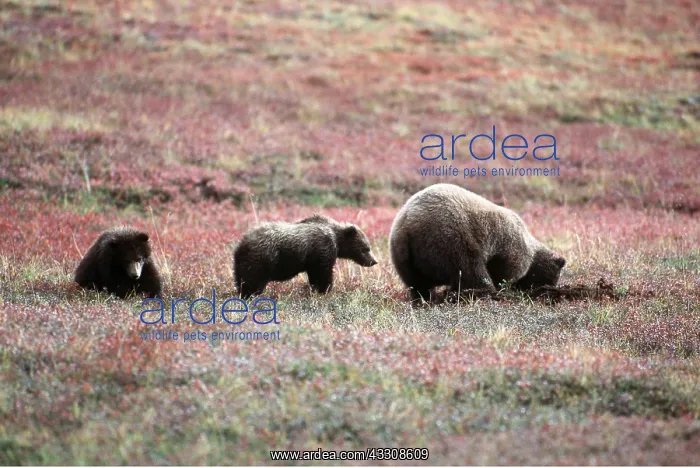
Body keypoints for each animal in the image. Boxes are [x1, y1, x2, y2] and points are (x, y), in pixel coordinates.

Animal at [233, 214, 378, 298]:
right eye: (366, 248)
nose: (374, 261)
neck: (337, 239)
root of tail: (242, 244)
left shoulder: (312, 260)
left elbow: (315, 275)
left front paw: (316, 290)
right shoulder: (322, 249)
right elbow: (323, 273)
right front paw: (325, 290)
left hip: (242, 263)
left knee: (241, 279)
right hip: (263, 258)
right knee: (253, 280)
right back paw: (251, 295)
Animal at [389, 183, 566, 302]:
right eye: (553, 278)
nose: (550, 288)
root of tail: (408, 224)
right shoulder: (510, 246)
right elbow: (507, 271)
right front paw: (504, 287)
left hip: (404, 255)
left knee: (416, 283)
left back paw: (424, 299)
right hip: (450, 237)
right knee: (469, 269)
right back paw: (482, 292)